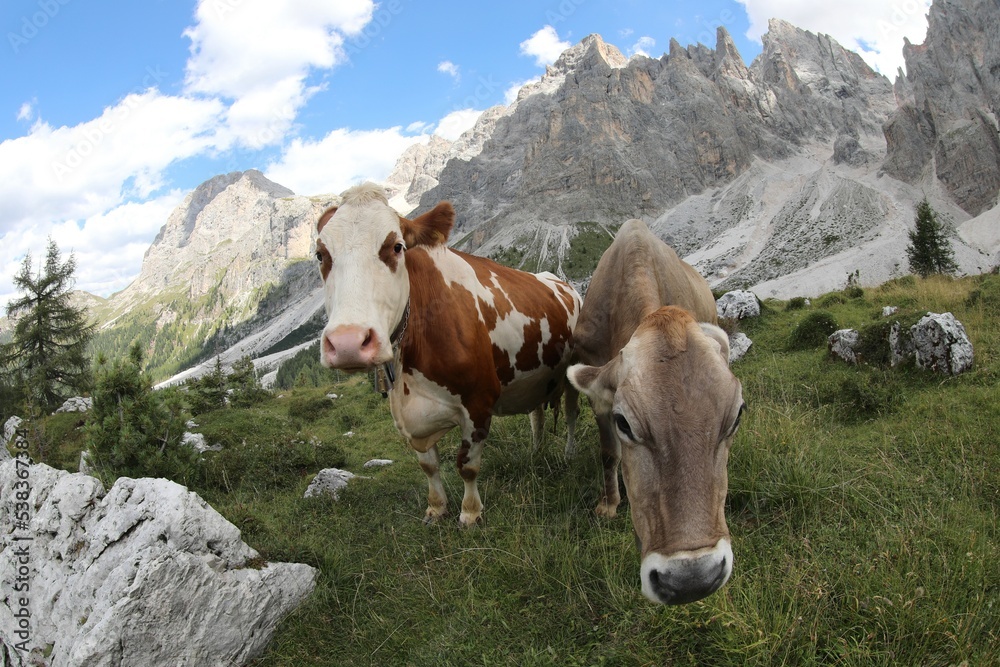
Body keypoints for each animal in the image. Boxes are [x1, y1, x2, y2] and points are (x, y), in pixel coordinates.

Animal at [312, 184, 580, 528]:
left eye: (397, 247)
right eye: (320, 254)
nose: (348, 342)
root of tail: (558, 280)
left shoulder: (478, 402)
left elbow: (467, 465)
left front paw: (470, 513)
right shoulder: (411, 414)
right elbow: (428, 465)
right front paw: (436, 508)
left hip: (572, 373)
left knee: (571, 414)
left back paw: (569, 454)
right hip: (535, 377)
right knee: (537, 416)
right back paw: (536, 452)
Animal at [568, 219, 748, 604]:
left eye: (737, 415)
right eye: (624, 423)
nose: (692, 579)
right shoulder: (599, 396)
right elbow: (609, 453)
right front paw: (609, 504)